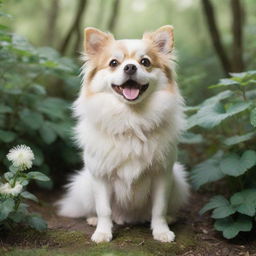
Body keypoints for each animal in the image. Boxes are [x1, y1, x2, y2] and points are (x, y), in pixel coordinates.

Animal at [58, 25, 190, 243]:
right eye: (114, 63)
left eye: (145, 62)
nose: (130, 67)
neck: (131, 119)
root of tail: (129, 218)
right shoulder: (100, 176)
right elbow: (104, 209)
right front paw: (103, 233)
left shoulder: (162, 174)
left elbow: (159, 208)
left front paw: (161, 231)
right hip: (85, 184)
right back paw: (94, 219)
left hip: (178, 181)